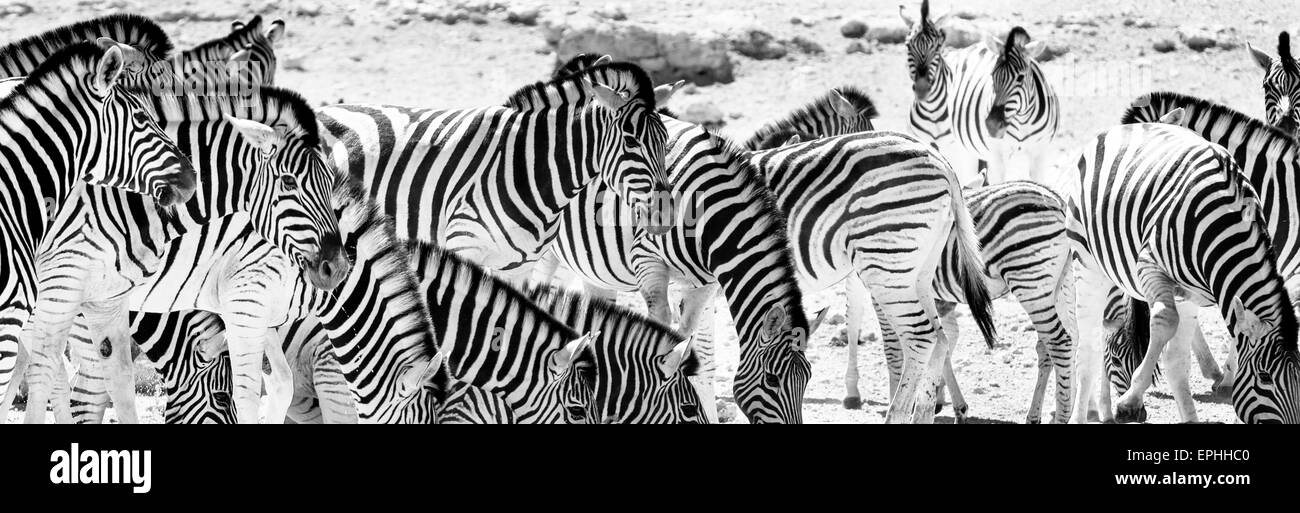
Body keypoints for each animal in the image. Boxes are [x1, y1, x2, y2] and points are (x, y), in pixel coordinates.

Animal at [317, 60, 675, 283]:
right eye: (631, 141)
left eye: (665, 141)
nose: (666, 215)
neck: (532, 169)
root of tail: (323, 109)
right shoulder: (463, 246)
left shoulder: (519, 267)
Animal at [901, 1, 1059, 185]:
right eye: (992, 75)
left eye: (1020, 78)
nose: (991, 125)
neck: (1023, 119)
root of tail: (977, 45)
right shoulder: (995, 156)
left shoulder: (1039, 154)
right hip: (966, 149)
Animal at [1067, 121, 1300, 424]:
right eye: (1264, 377)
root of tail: (1129, 126)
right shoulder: (1149, 267)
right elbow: (1166, 321)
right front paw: (1130, 400)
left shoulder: (1194, 295)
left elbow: (1177, 362)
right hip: (1088, 265)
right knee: (1089, 349)